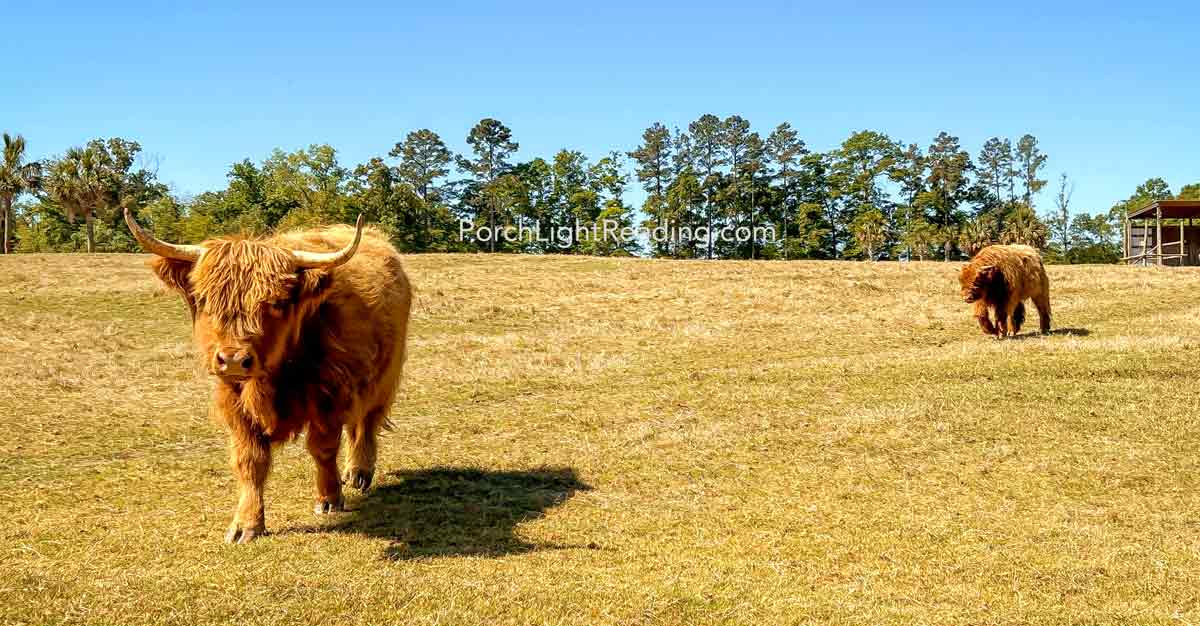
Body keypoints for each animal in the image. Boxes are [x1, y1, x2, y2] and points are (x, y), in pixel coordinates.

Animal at [125, 209, 412, 543]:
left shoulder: (329, 396)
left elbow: (323, 449)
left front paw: (329, 499)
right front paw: (246, 524)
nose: (233, 360)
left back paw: (359, 472)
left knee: (366, 423)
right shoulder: (236, 404)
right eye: (206, 300)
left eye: (275, 303)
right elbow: (250, 461)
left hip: (385, 376)